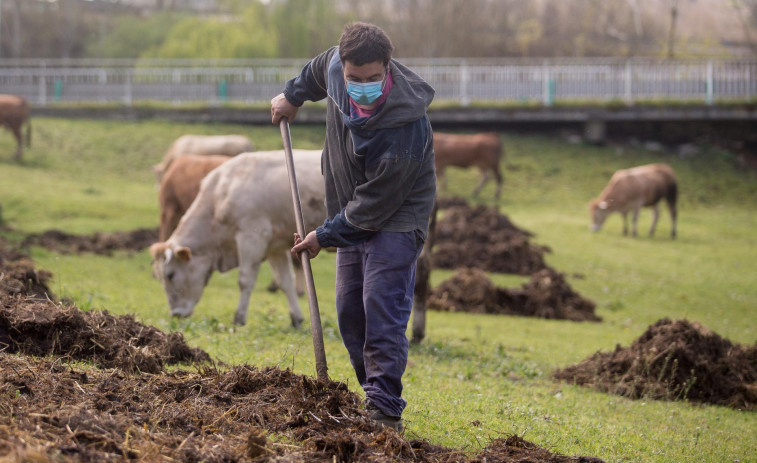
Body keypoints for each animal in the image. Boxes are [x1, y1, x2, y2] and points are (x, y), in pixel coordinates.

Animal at [149, 150, 324, 328]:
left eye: (170, 275)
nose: (176, 314)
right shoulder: (275, 246)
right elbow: (286, 281)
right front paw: (296, 318)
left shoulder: (252, 236)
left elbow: (245, 280)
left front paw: (239, 318)